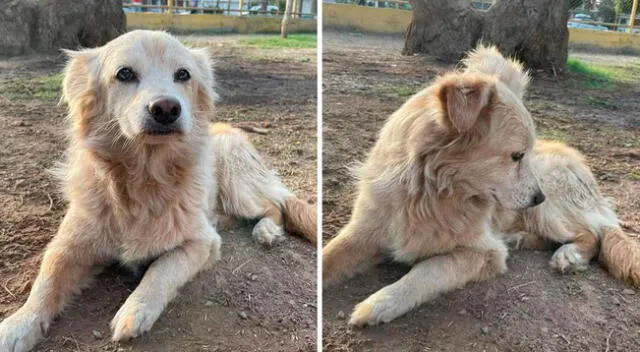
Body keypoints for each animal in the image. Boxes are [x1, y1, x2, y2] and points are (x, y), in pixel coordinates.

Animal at [0, 30, 318, 352]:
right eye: (124, 73)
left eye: (183, 74)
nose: (166, 108)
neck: (143, 180)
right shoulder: (69, 244)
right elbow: (46, 279)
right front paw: (17, 324)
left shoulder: (202, 242)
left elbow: (162, 268)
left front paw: (136, 310)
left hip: (236, 185)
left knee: (275, 205)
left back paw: (267, 230)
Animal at [324, 46, 640, 328]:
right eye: (517, 155)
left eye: (525, 154)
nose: (539, 197)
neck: (429, 192)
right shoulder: (365, 231)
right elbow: (328, 255)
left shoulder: (483, 253)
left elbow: (426, 272)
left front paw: (379, 304)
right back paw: (521, 239)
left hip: (549, 211)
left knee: (593, 234)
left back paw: (569, 255)